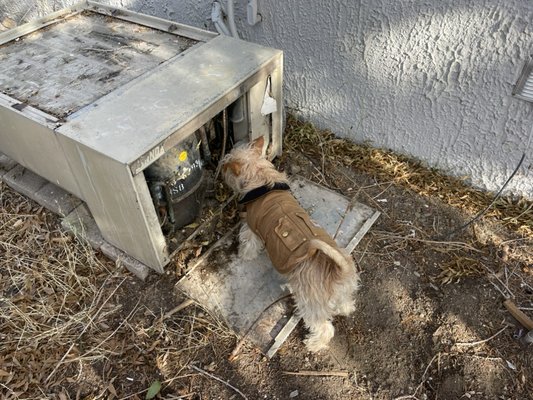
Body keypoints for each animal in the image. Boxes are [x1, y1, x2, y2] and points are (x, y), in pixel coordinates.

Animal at [218, 136, 360, 352]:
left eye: (226, 165)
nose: (221, 169)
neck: (261, 179)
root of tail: (337, 272)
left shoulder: (251, 227)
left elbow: (248, 243)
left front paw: (244, 255)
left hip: (311, 304)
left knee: (325, 328)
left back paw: (314, 344)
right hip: (344, 290)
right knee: (345, 303)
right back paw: (346, 309)